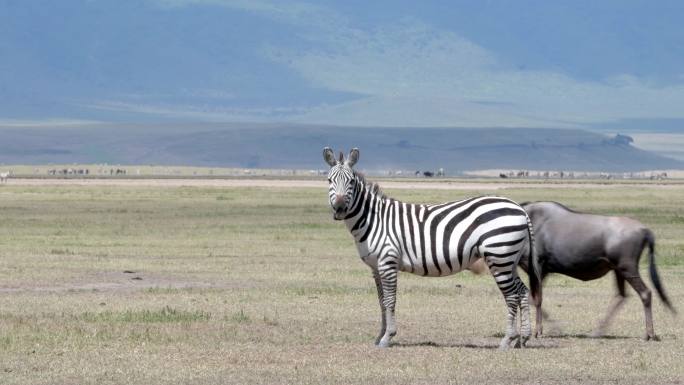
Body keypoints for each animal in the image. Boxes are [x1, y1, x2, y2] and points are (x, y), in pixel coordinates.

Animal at [324, 146, 544, 348]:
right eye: (329, 180)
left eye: (351, 181)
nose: (340, 209)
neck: (373, 219)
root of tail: (519, 208)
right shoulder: (375, 267)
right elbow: (381, 301)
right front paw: (380, 336)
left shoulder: (387, 261)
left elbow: (390, 300)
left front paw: (388, 337)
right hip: (508, 258)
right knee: (522, 291)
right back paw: (522, 338)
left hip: (499, 256)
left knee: (512, 296)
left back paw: (507, 339)